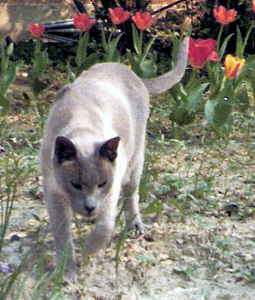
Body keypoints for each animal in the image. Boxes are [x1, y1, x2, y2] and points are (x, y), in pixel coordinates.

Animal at [39, 36, 187, 282]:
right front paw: (67, 272)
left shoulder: (111, 190)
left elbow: (105, 227)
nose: (89, 207)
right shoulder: (54, 195)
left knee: (131, 198)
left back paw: (134, 227)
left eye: (101, 184)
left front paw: (88, 251)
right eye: (75, 185)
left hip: (135, 163)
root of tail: (133, 73)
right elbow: (63, 237)